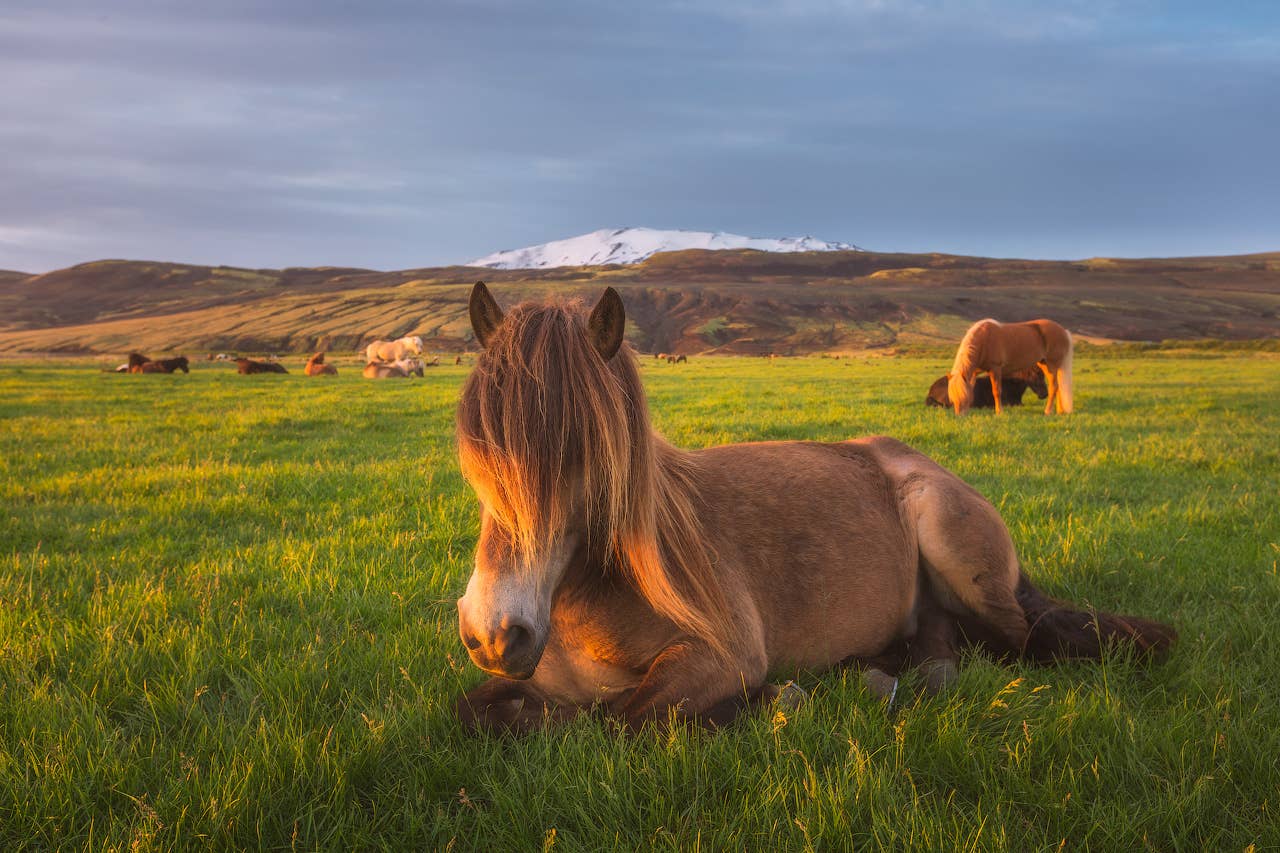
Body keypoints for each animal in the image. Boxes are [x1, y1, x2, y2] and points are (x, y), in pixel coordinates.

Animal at [453, 283, 1175, 733]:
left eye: (588, 455)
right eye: (477, 450)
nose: (495, 632)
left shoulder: (721, 656)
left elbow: (626, 715)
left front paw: (775, 700)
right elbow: (482, 710)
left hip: (954, 548)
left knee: (1016, 640)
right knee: (938, 638)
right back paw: (880, 671)